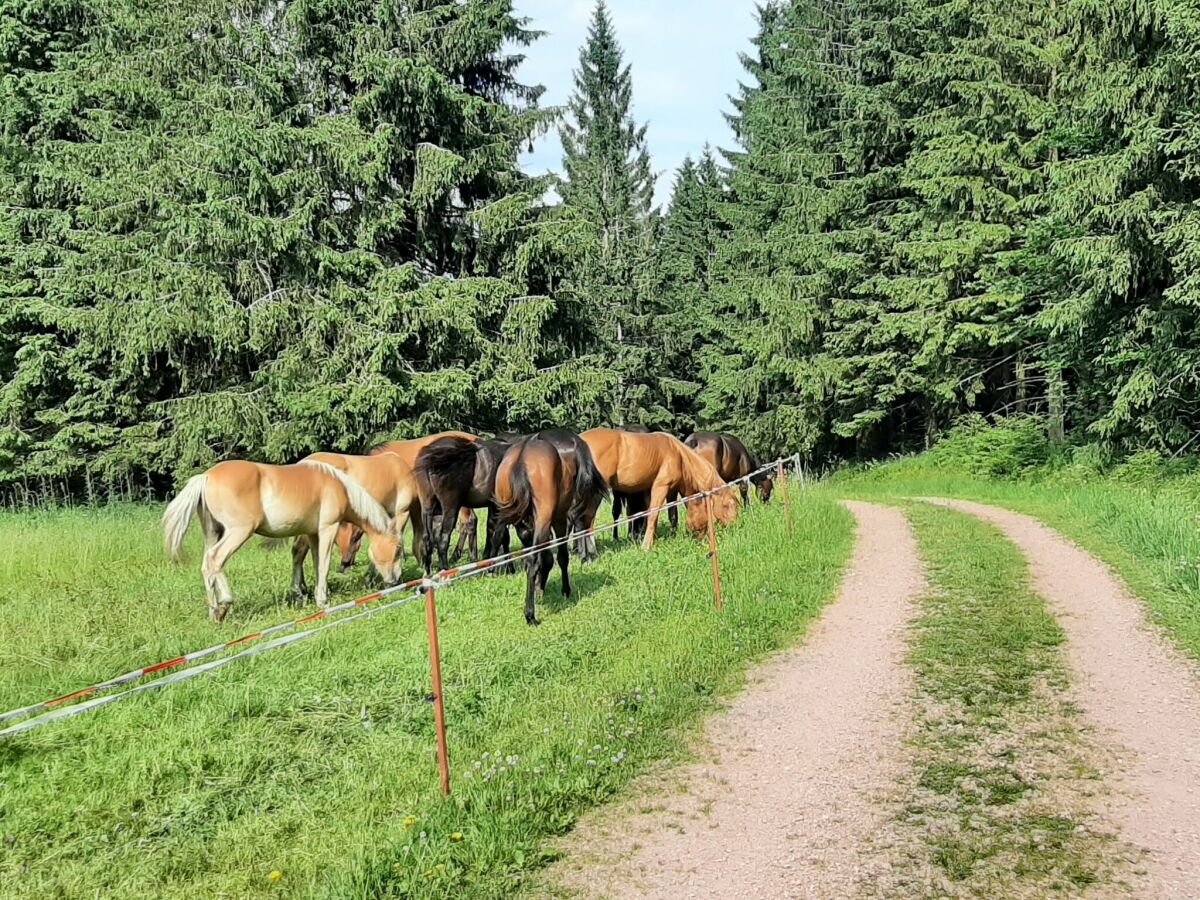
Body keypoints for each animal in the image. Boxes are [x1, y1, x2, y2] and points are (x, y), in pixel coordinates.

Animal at [163, 460, 393, 624]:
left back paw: (214, 614)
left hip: (213, 533)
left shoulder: (313, 534)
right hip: (238, 532)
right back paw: (225, 604)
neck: (338, 486)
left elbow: (316, 563)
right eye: (397, 550)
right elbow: (324, 565)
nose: (394, 580)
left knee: (207, 566)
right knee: (215, 560)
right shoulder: (328, 528)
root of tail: (206, 476)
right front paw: (322, 601)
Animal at [415, 434, 513, 573]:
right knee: (443, 539)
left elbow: (496, 534)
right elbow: (500, 536)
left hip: (427, 507)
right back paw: (446, 571)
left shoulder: (495, 507)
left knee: (427, 540)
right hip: (450, 508)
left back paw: (428, 573)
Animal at [494, 434, 609, 624]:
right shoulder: (560, 519)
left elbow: (545, 557)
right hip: (545, 517)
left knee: (528, 557)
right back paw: (530, 614)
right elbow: (562, 556)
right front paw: (566, 590)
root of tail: (521, 458)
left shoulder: (527, 528)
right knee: (533, 559)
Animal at [576, 427, 734, 554]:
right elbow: (653, 514)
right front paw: (646, 546)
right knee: (588, 520)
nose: (731, 526)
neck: (677, 454)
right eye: (727, 505)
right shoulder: (661, 487)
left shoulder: (648, 490)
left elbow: (651, 516)